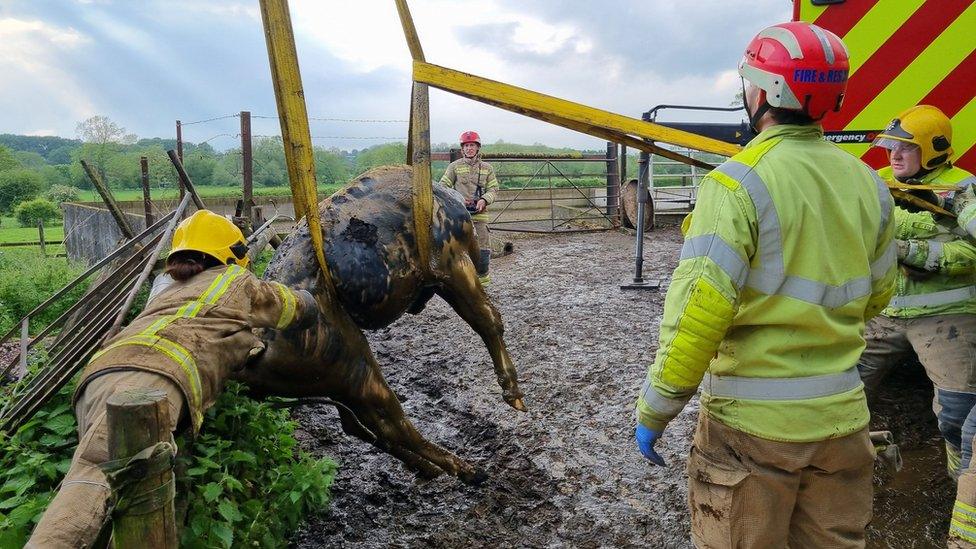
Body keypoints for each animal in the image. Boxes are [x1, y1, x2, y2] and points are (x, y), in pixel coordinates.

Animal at [235, 165, 524, 482]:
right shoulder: (453, 264)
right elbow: (488, 320)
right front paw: (514, 395)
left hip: (330, 380)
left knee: (358, 425)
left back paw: (428, 469)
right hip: (353, 363)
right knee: (392, 423)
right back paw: (466, 469)